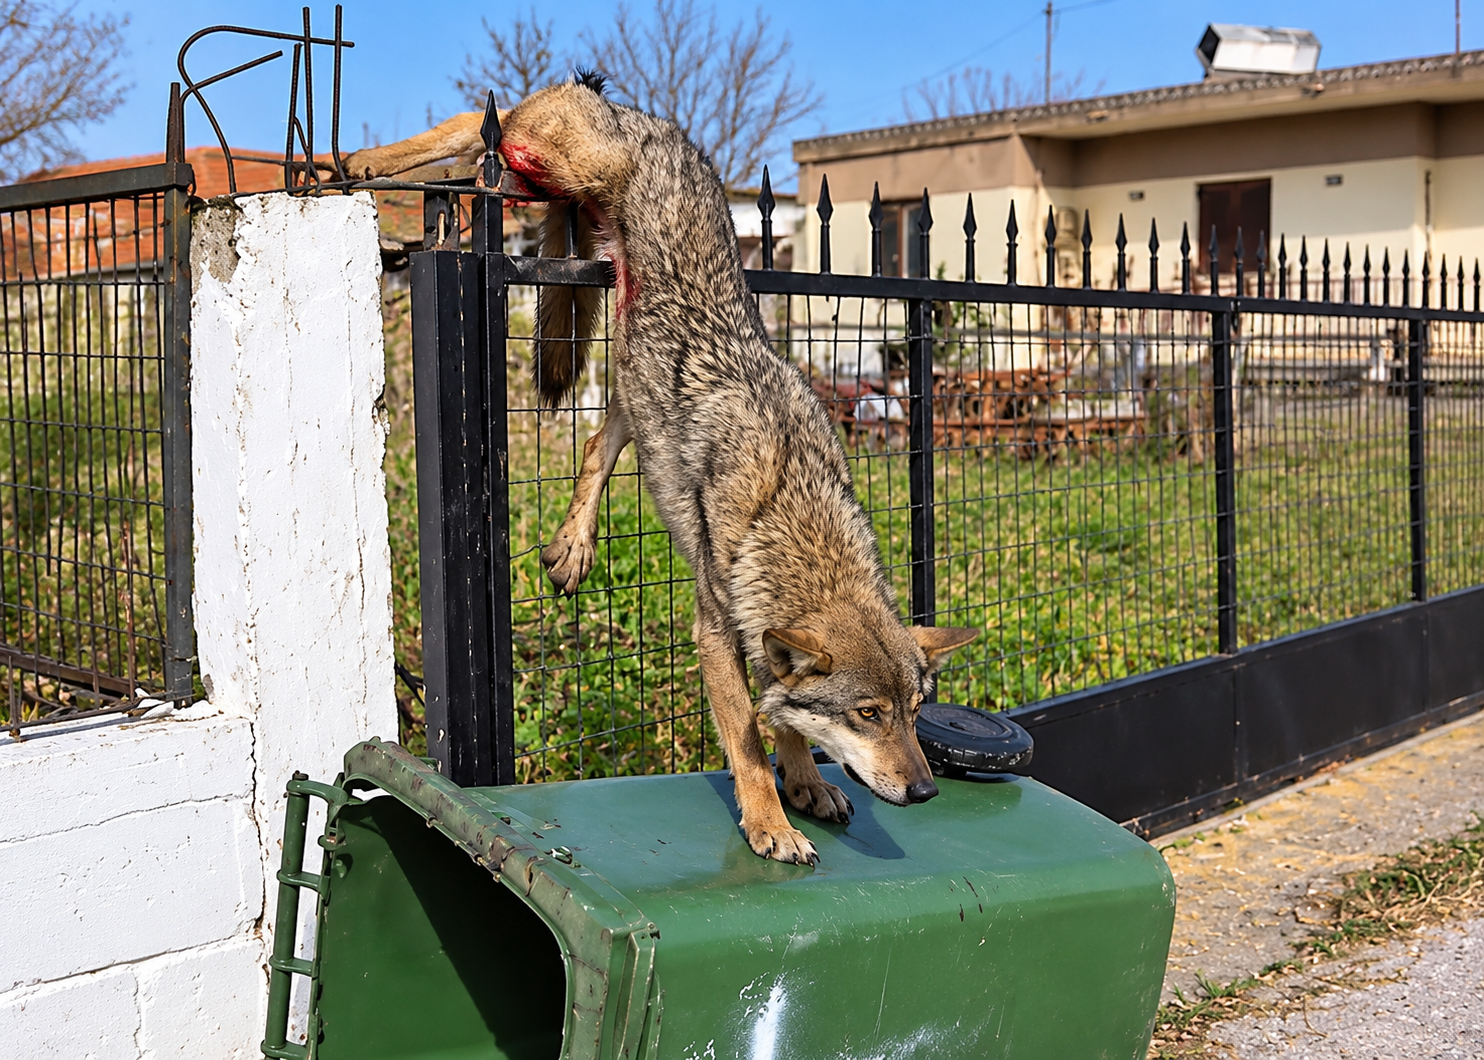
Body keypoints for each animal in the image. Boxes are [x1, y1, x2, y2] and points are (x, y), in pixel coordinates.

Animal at [346, 77, 978, 864]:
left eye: (918, 713)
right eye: (868, 713)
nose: (925, 791)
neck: (795, 518)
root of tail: (643, 115)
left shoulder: (765, 644)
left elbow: (785, 718)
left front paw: (807, 786)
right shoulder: (715, 633)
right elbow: (747, 744)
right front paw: (771, 822)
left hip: (622, 355)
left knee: (597, 442)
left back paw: (573, 546)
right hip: (545, 161)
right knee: (476, 120)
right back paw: (365, 163)